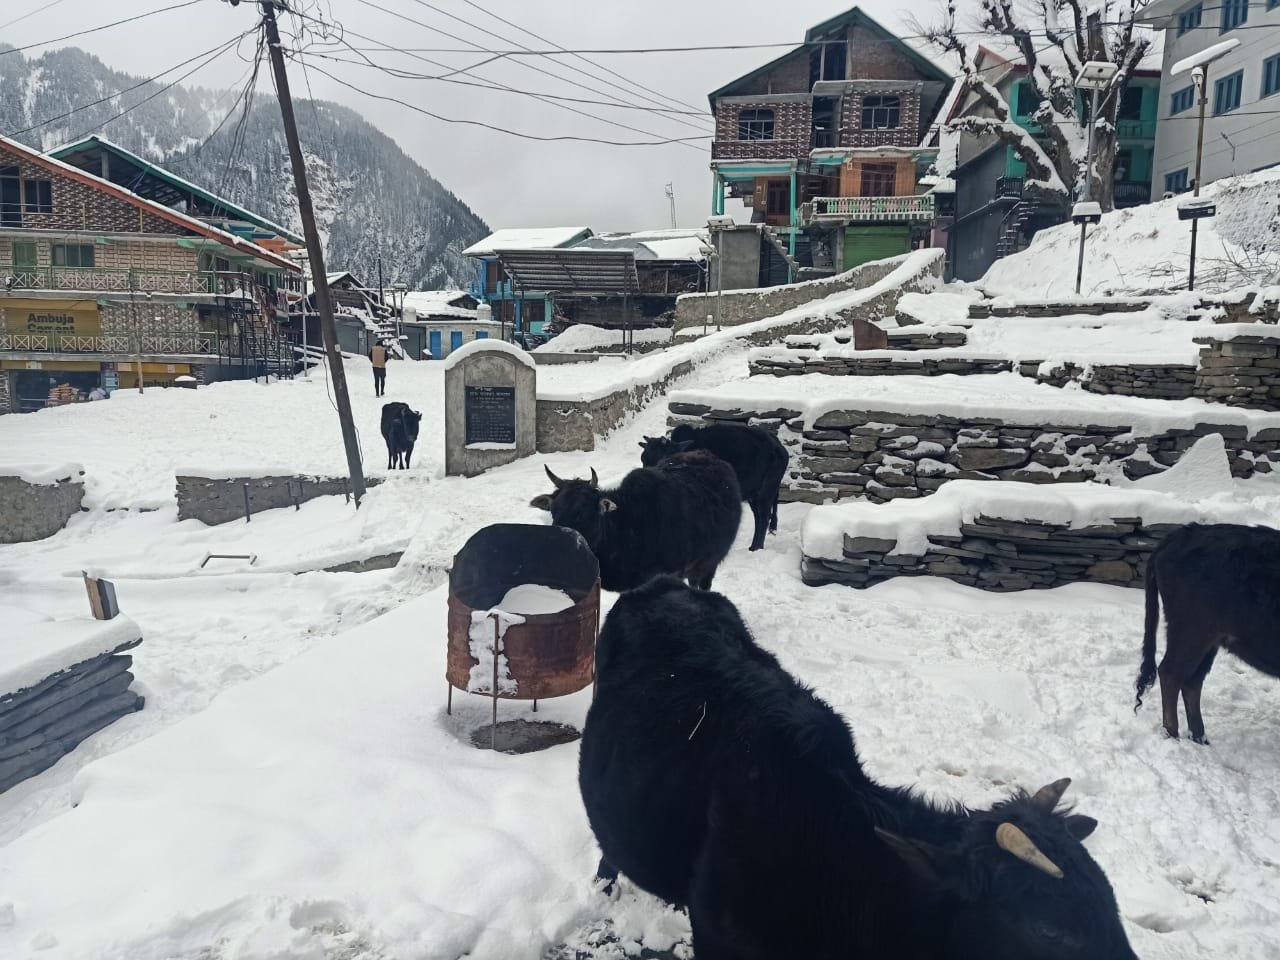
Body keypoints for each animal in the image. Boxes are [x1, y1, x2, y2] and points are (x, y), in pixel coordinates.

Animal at [637, 424, 783, 552]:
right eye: (643, 459)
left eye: (662, 458)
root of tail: (778, 446)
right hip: (754, 495)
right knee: (758, 518)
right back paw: (753, 546)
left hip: (766, 492)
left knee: (764, 518)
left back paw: (757, 548)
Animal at [1136, 527, 1280, 742]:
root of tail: (1182, 532)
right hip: (1191, 631)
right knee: (1171, 673)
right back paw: (1173, 735)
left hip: (1210, 640)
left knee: (1192, 681)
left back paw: (1199, 738)